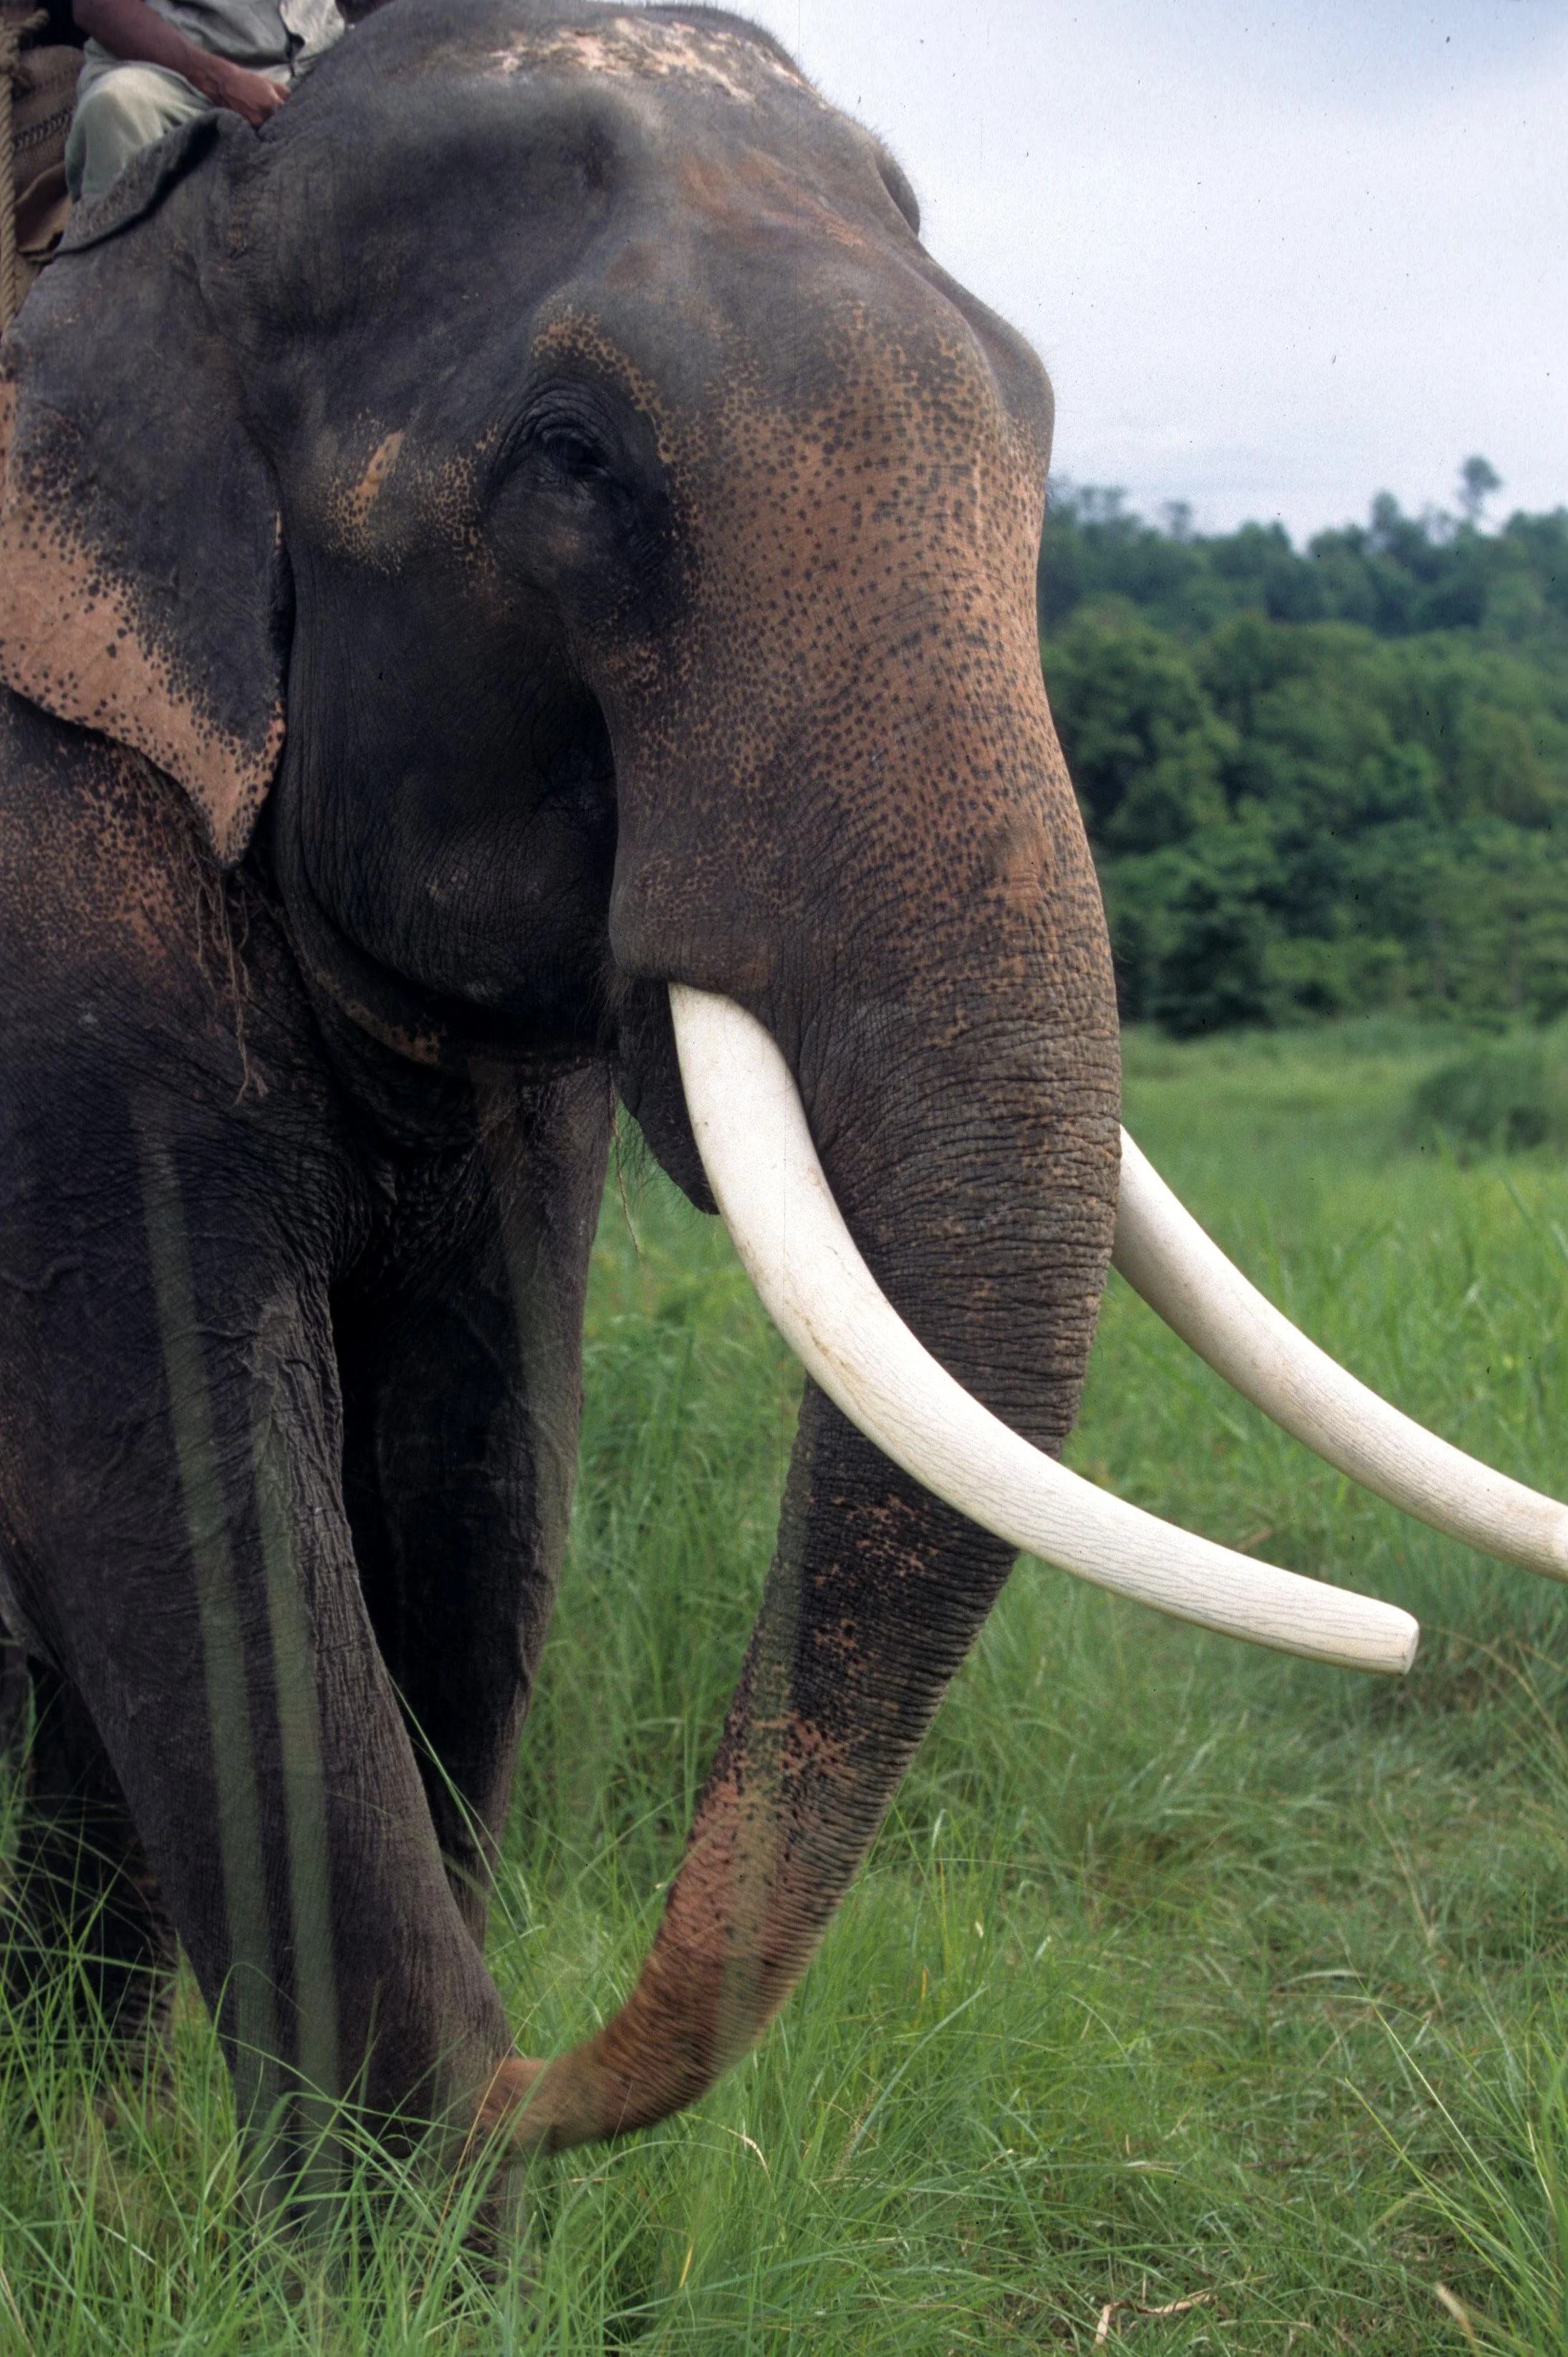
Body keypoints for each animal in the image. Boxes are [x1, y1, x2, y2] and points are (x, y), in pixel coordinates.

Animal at [1, 0, 1564, 2187]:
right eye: (574, 465)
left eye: (1038, 423)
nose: (539, 2071)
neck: (177, 227)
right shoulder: (51, 831)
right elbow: (181, 1473)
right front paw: (415, 2189)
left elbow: (479, 1460)